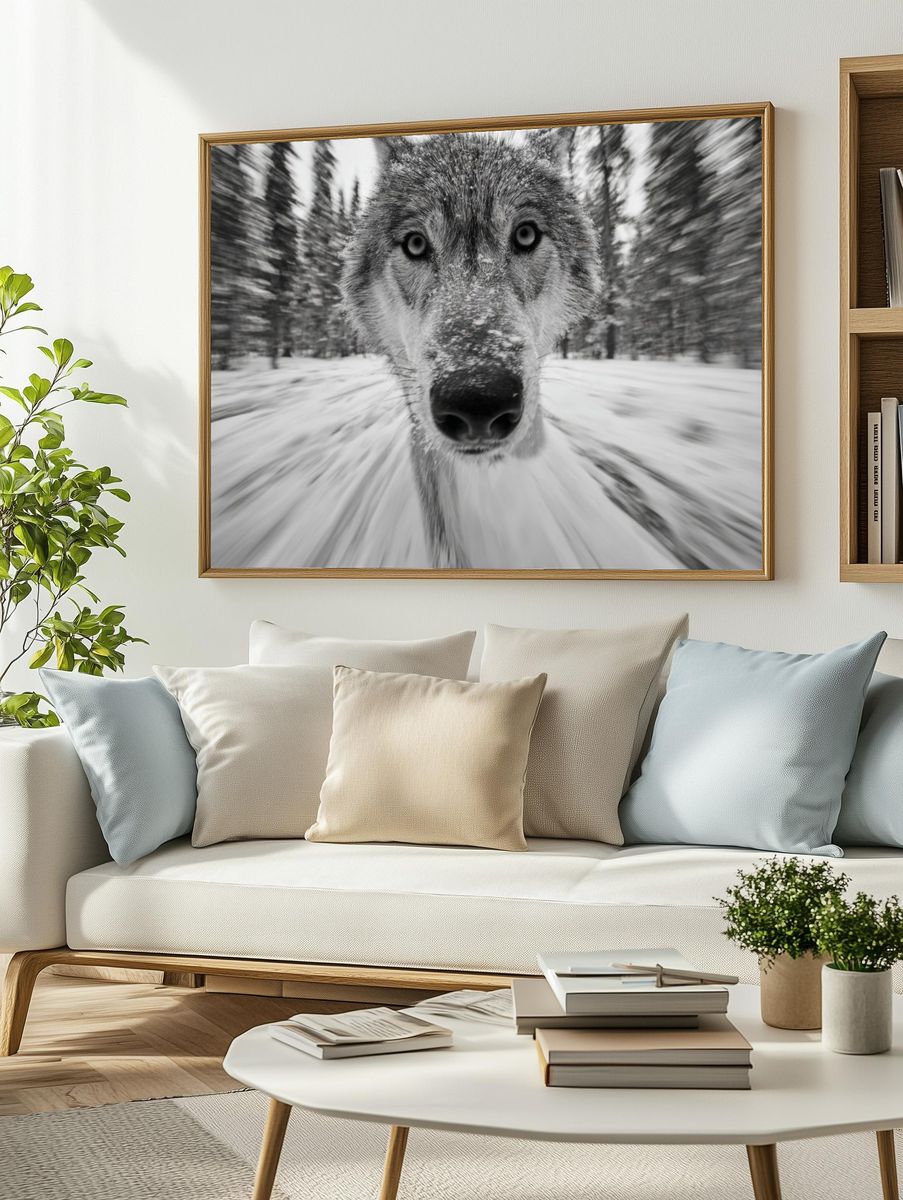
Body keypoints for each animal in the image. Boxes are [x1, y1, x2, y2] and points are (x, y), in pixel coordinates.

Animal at [341, 129, 601, 566]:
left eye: (526, 234)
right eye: (415, 243)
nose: (478, 400)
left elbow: (532, 433)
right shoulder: (420, 422)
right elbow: (441, 521)